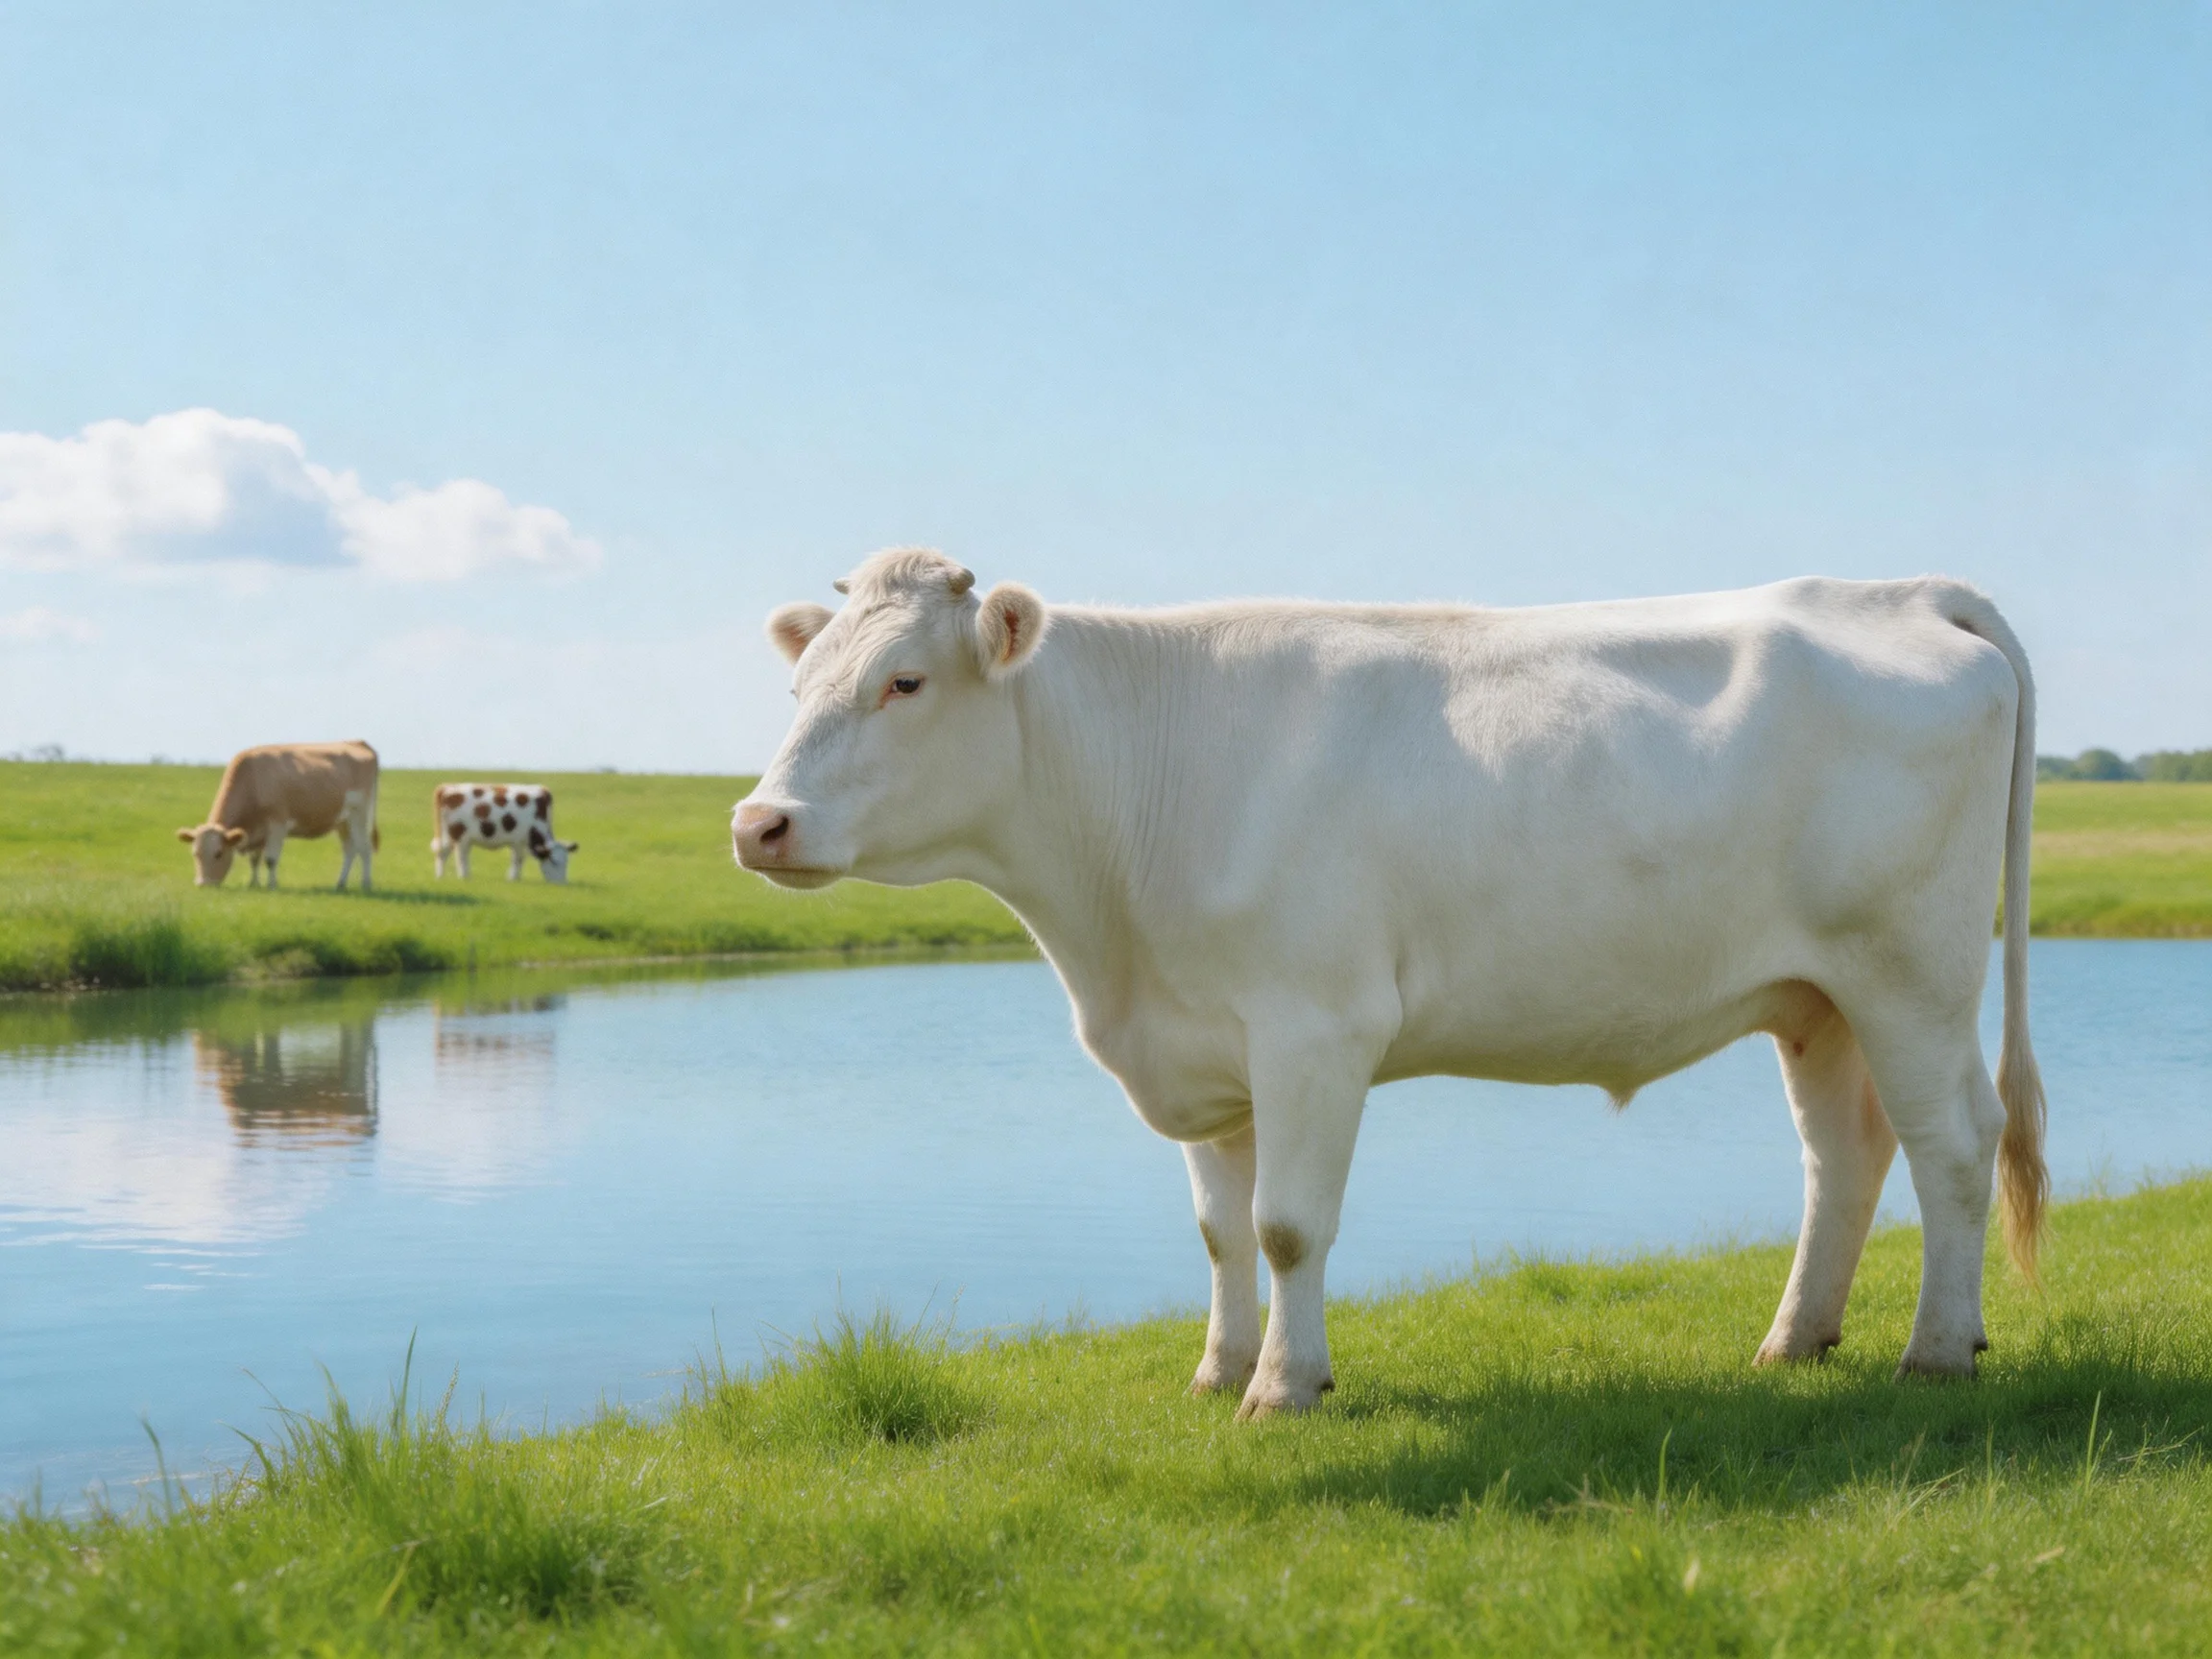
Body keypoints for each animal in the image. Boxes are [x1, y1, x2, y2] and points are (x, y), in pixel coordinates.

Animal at [177, 740, 381, 891]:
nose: (203, 884)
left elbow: (270, 859)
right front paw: (253, 884)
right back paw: (340, 883)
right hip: (342, 820)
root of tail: (356, 742)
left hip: (360, 813)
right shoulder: (257, 831)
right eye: (195, 853)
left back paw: (366, 884)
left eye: (218, 854)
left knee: (364, 848)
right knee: (349, 849)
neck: (253, 782)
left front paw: (272, 885)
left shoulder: (277, 824)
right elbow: (254, 860)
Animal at [431, 783, 576, 881]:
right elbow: (518, 859)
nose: (561, 883)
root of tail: (447, 787)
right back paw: (464, 876)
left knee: (442, 853)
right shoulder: (519, 842)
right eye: (554, 862)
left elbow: (517, 859)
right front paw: (514, 878)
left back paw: (441, 876)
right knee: (461, 856)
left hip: (448, 835)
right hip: (461, 836)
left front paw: (512, 877)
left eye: (567, 862)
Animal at [732, 548, 2051, 1420]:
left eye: (905, 682)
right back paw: (1793, 1342)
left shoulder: (1315, 1029)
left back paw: (1936, 1352)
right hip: (1816, 993)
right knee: (1845, 1156)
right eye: (798, 688)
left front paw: (1284, 1387)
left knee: (1954, 1142)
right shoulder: (1205, 1043)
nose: (758, 823)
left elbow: (1286, 1225)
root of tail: (1901, 590)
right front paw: (1217, 1371)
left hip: (1913, 971)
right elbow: (1219, 1230)